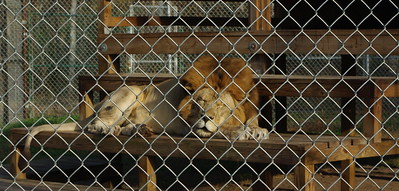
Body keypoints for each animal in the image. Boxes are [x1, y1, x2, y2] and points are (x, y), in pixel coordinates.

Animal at [23, 56, 270, 158]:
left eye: (219, 105)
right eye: (200, 101)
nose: (205, 117)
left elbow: (251, 121)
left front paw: (257, 129)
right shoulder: (189, 125)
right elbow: (220, 129)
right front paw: (240, 131)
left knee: (121, 126)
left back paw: (138, 129)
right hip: (128, 92)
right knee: (93, 125)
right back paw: (107, 129)